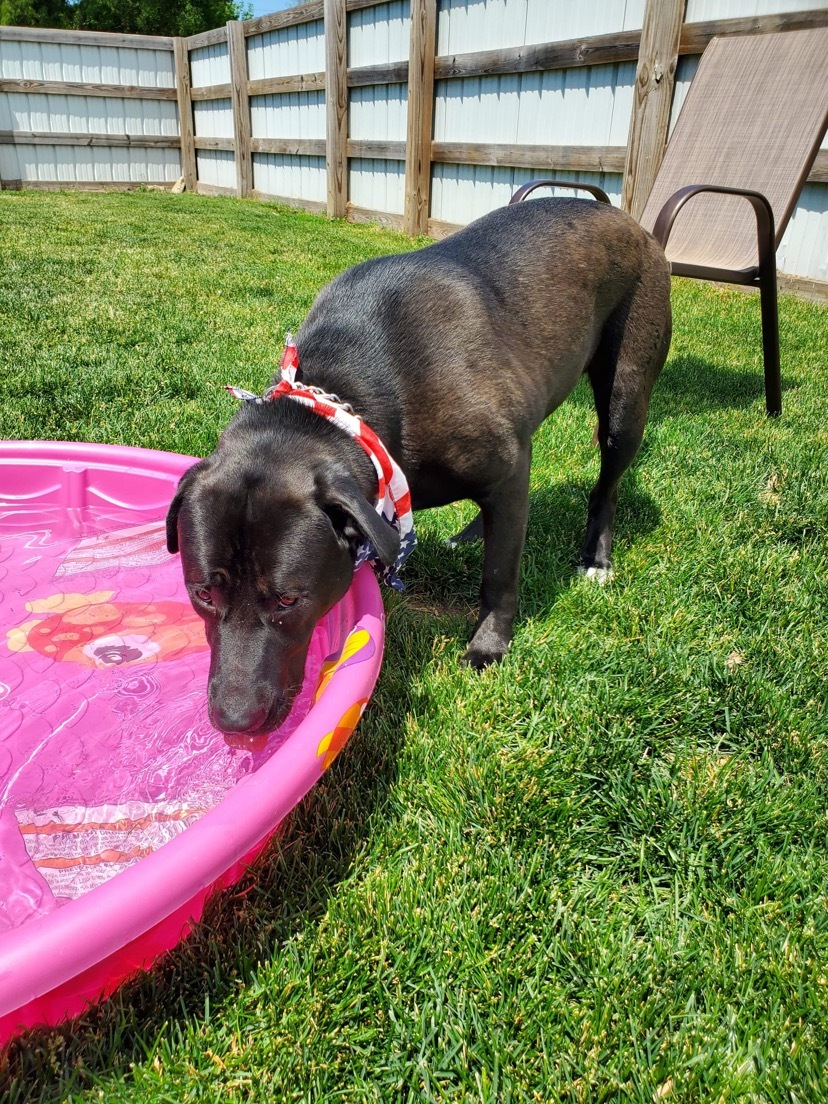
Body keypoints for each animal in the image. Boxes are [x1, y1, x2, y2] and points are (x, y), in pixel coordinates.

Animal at [168, 198, 675, 741]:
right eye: (202, 593)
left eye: (288, 600)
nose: (234, 721)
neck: (345, 396)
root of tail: (622, 217)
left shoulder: (507, 471)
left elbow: (500, 573)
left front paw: (488, 646)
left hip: (625, 394)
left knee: (606, 484)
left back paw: (596, 557)